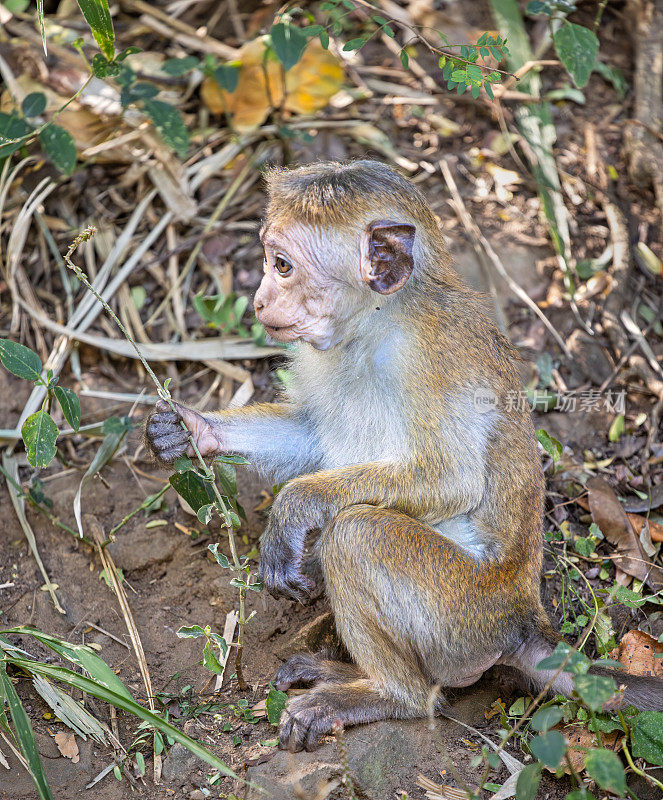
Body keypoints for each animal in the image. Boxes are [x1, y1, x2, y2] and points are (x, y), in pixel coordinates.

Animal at [148, 161, 663, 752]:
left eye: (281, 265)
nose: (258, 300)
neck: (376, 322)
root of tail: (522, 619)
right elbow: (309, 436)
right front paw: (193, 429)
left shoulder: (428, 359)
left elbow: (451, 480)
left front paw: (295, 505)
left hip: (460, 618)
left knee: (357, 536)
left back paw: (390, 695)